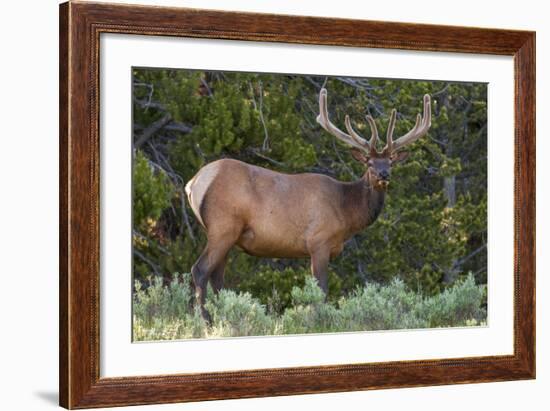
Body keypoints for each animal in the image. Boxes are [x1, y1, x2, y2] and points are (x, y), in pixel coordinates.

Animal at [185, 89, 432, 322]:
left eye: (390, 162)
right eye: (369, 163)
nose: (384, 174)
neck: (346, 212)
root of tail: (193, 183)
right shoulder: (318, 241)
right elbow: (321, 291)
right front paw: (318, 320)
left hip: (224, 233)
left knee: (217, 276)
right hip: (223, 226)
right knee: (200, 270)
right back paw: (205, 320)